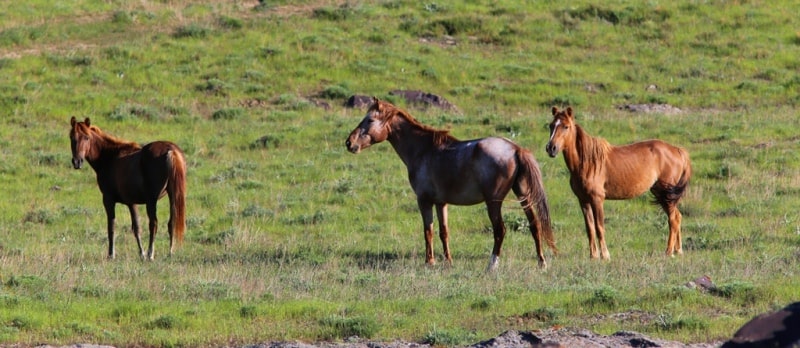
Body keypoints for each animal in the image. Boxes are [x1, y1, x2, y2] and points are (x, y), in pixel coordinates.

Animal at [69, 117, 188, 258]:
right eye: (72, 137)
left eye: (87, 137)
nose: (77, 162)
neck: (110, 157)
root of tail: (171, 151)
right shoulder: (131, 202)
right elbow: (136, 228)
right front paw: (141, 254)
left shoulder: (108, 199)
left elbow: (111, 226)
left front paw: (111, 254)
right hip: (172, 195)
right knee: (172, 222)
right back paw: (170, 252)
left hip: (151, 200)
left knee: (154, 223)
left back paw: (151, 254)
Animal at [344, 98, 556, 272]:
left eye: (370, 120)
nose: (349, 143)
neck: (423, 150)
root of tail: (516, 149)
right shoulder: (441, 203)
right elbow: (443, 232)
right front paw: (448, 261)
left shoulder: (424, 201)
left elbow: (428, 231)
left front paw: (430, 261)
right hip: (523, 195)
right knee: (534, 225)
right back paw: (542, 262)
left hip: (494, 202)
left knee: (500, 230)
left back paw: (492, 264)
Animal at [548, 107, 692, 260]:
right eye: (551, 125)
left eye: (566, 126)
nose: (551, 148)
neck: (587, 162)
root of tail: (678, 150)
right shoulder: (583, 201)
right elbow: (590, 228)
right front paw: (593, 256)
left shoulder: (597, 199)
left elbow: (599, 227)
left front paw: (605, 255)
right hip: (662, 194)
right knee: (678, 216)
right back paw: (678, 250)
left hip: (667, 195)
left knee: (673, 219)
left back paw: (669, 252)